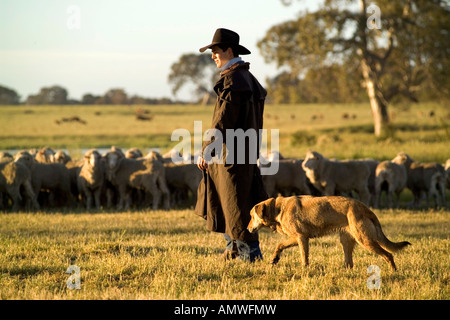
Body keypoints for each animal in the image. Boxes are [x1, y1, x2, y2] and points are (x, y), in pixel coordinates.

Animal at [248, 195, 410, 270]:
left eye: (251, 216)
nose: (248, 229)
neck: (278, 208)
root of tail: (366, 208)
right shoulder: (297, 238)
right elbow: (280, 245)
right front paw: (275, 259)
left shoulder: (301, 238)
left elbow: (303, 257)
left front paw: (305, 270)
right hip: (347, 241)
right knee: (349, 263)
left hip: (364, 239)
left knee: (388, 255)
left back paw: (394, 272)